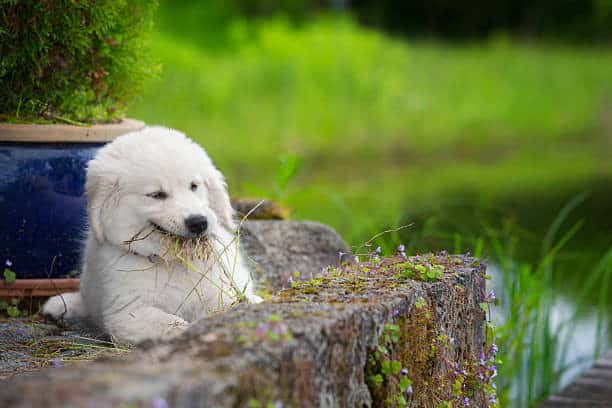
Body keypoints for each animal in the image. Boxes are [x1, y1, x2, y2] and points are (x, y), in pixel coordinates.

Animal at [42, 127, 262, 344]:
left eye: (194, 186)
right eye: (156, 195)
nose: (198, 222)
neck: (174, 263)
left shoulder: (220, 293)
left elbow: (229, 306)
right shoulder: (128, 313)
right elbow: (173, 324)